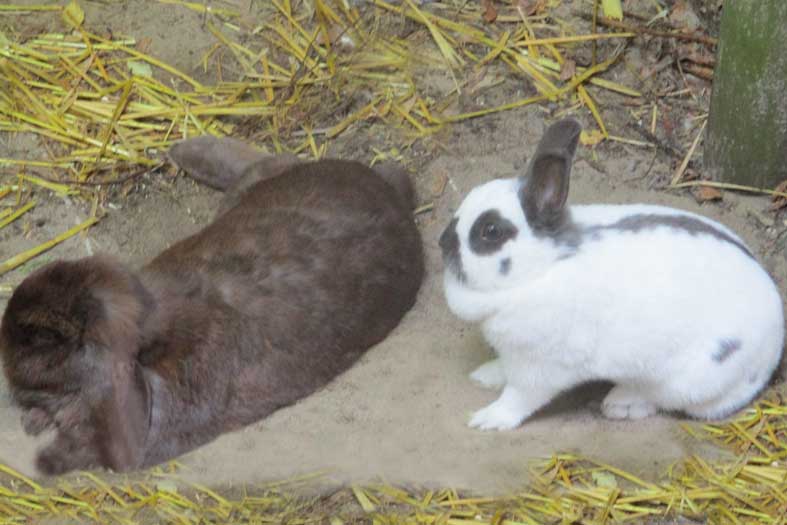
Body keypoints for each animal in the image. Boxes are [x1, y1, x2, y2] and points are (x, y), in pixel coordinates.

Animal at [440, 118, 784, 430]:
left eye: (490, 231)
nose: (442, 242)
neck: (541, 267)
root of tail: (775, 347)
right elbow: (503, 369)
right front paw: (484, 375)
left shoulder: (541, 367)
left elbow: (519, 398)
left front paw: (487, 419)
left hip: (688, 380)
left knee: (662, 399)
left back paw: (620, 404)